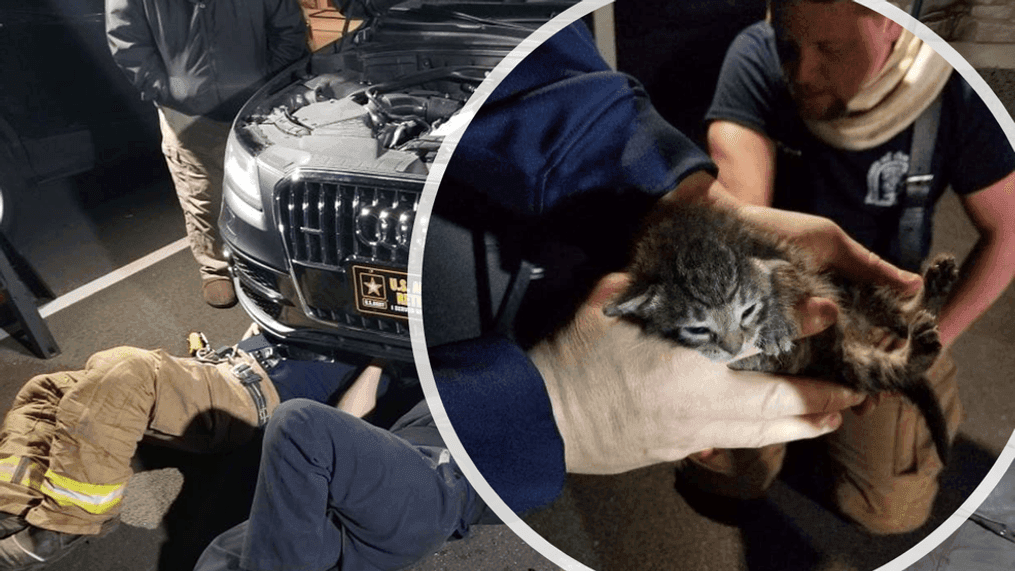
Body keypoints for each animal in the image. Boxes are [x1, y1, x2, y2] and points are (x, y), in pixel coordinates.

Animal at [600, 200, 958, 464]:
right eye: (698, 329)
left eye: (747, 311)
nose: (734, 346)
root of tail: (849, 337)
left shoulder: (785, 255)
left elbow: (785, 277)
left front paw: (774, 319)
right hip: (842, 366)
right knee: (883, 370)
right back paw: (920, 344)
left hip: (846, 288)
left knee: (888, 313)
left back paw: (930, 296)